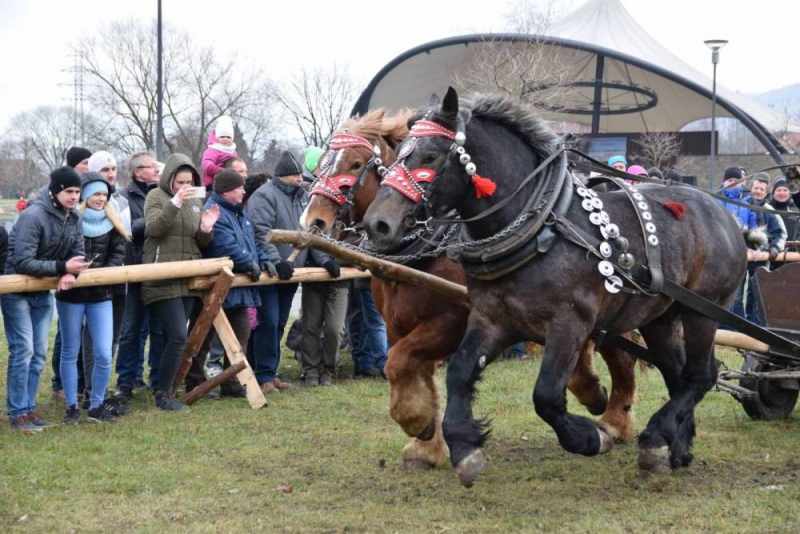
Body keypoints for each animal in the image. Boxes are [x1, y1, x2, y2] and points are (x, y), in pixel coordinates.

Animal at [304, 110, 640, 474]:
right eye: (320, 165)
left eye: (355, 164)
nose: (313, 221)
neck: (424, 250)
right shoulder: (396, 325)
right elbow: (409, 371)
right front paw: (426, 442)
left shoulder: (452, 321)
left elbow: (397, 364)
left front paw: (417, 423)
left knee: (622, 356)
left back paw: (614, 420)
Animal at [366, 89, 748, 490]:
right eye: (397, 153)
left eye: (430, 156)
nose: (378, 224)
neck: (540, 227)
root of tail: (724, 214)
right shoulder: (492, 320)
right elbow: (459, 372)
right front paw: (464, 447)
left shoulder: (570, 323)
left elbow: (546, 395)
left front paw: (591, 437)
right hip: (660, 317)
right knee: (677, 374)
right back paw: (675, 448)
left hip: (704, 311)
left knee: (699, 375)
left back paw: (655, 438)